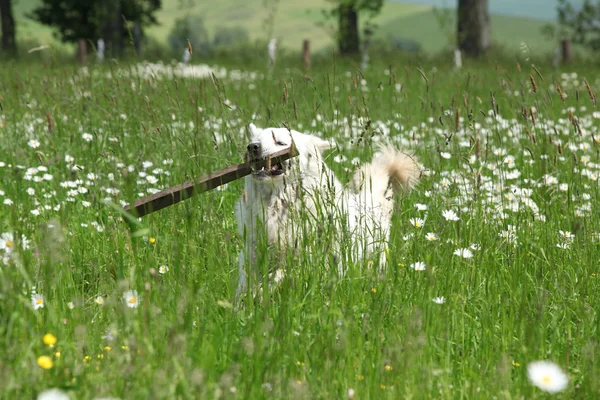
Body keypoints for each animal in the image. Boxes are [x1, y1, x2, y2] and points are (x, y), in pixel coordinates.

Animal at [233, 124, 418, 296]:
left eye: (280, 142)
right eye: (255, 140)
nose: (252, 147)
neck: (278, 204)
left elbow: (280, 275)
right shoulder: (253, 252)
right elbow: (248, 282)